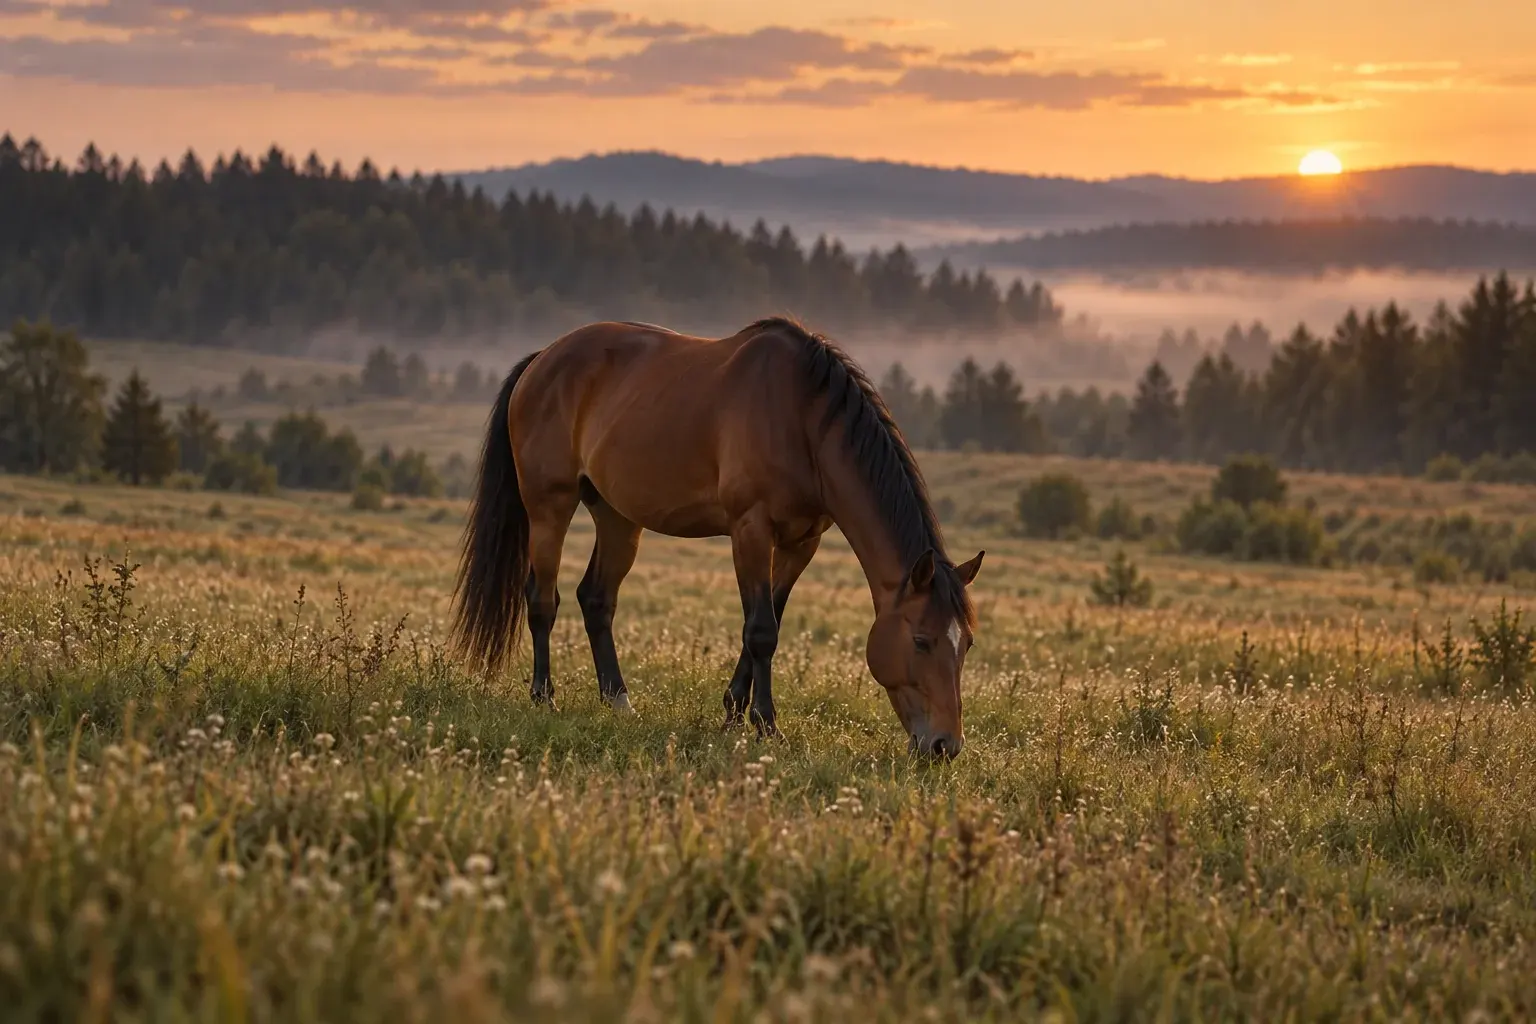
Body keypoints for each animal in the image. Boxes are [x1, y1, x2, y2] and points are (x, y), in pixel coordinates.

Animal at [450, 316, 984, 759]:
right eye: (921, 640)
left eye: (968, 645)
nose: (945, 746)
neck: (803, 420)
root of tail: (542, 360)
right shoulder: (750, 529)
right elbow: (762, 629)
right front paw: (766, 725)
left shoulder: (801, 542)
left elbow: (768, 622)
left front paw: (732, 714)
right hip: (549, 507)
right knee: (542, 600)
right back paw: (544, 698)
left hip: (618, 518)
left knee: (596, 599)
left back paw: (618, 700)